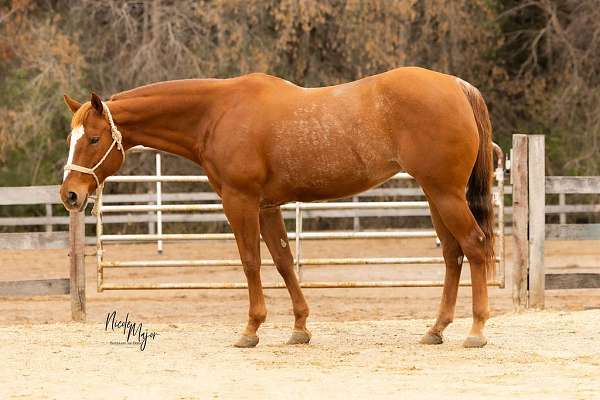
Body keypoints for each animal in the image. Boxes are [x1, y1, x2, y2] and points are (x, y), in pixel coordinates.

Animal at [58, 66, 494, 346]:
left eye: (93, 139)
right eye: (71, 138)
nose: (70, 195)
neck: (217, 112)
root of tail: (457, 86)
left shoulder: (240, 201)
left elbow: (251, 261)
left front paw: (251, 329)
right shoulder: (268, 206)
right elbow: (283, 261)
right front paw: (300, 327)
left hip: (445, 194)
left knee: (474, 246)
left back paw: (476, 331)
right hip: (436, 195)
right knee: (453, 254)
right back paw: (436, 329)